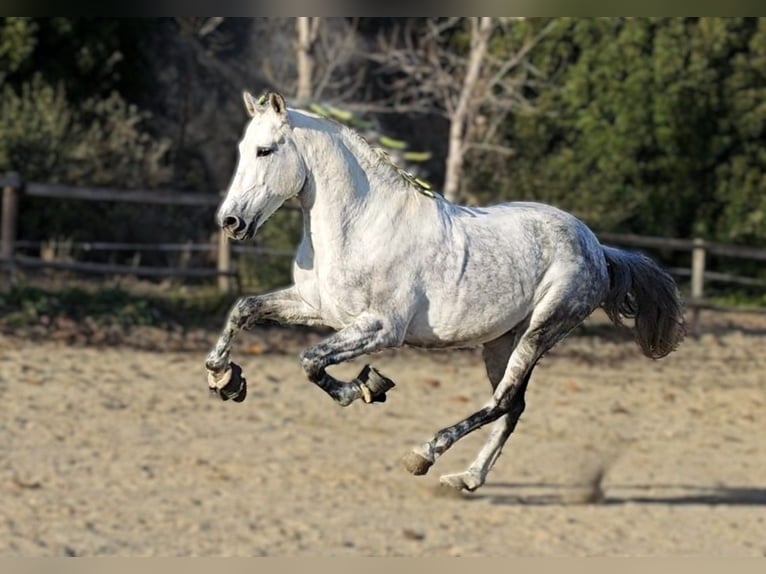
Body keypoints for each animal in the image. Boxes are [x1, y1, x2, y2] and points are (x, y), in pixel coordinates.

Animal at [202, 92, 684, 492]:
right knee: (513, 406)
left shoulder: (380, 328)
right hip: (501, 341)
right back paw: (467, 478)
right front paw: (224, 378)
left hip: (542, 330)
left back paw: (425, 455)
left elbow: (310, 361)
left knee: (502, 401)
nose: (230, 222)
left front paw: (364, 388)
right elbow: (245, 309)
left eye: (265, 150)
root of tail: (596, 246)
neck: (360, 224)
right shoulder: (319, 309)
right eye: (243, 150)